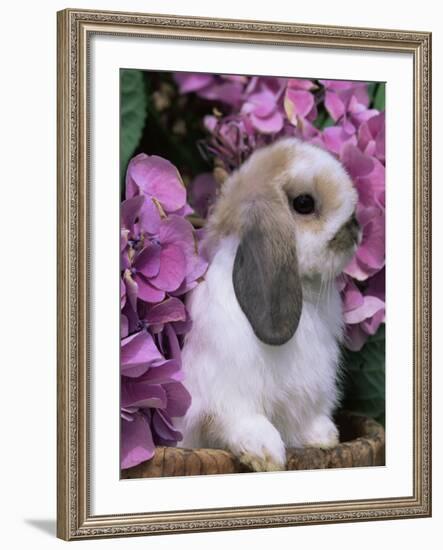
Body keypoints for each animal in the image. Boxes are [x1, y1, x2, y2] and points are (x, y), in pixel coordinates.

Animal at [176, 138, 360, 474]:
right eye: (304, 203)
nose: (355, 229)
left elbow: (307, 420)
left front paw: (323, 436)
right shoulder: (227, 396)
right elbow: (244, 421)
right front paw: (265, 454)